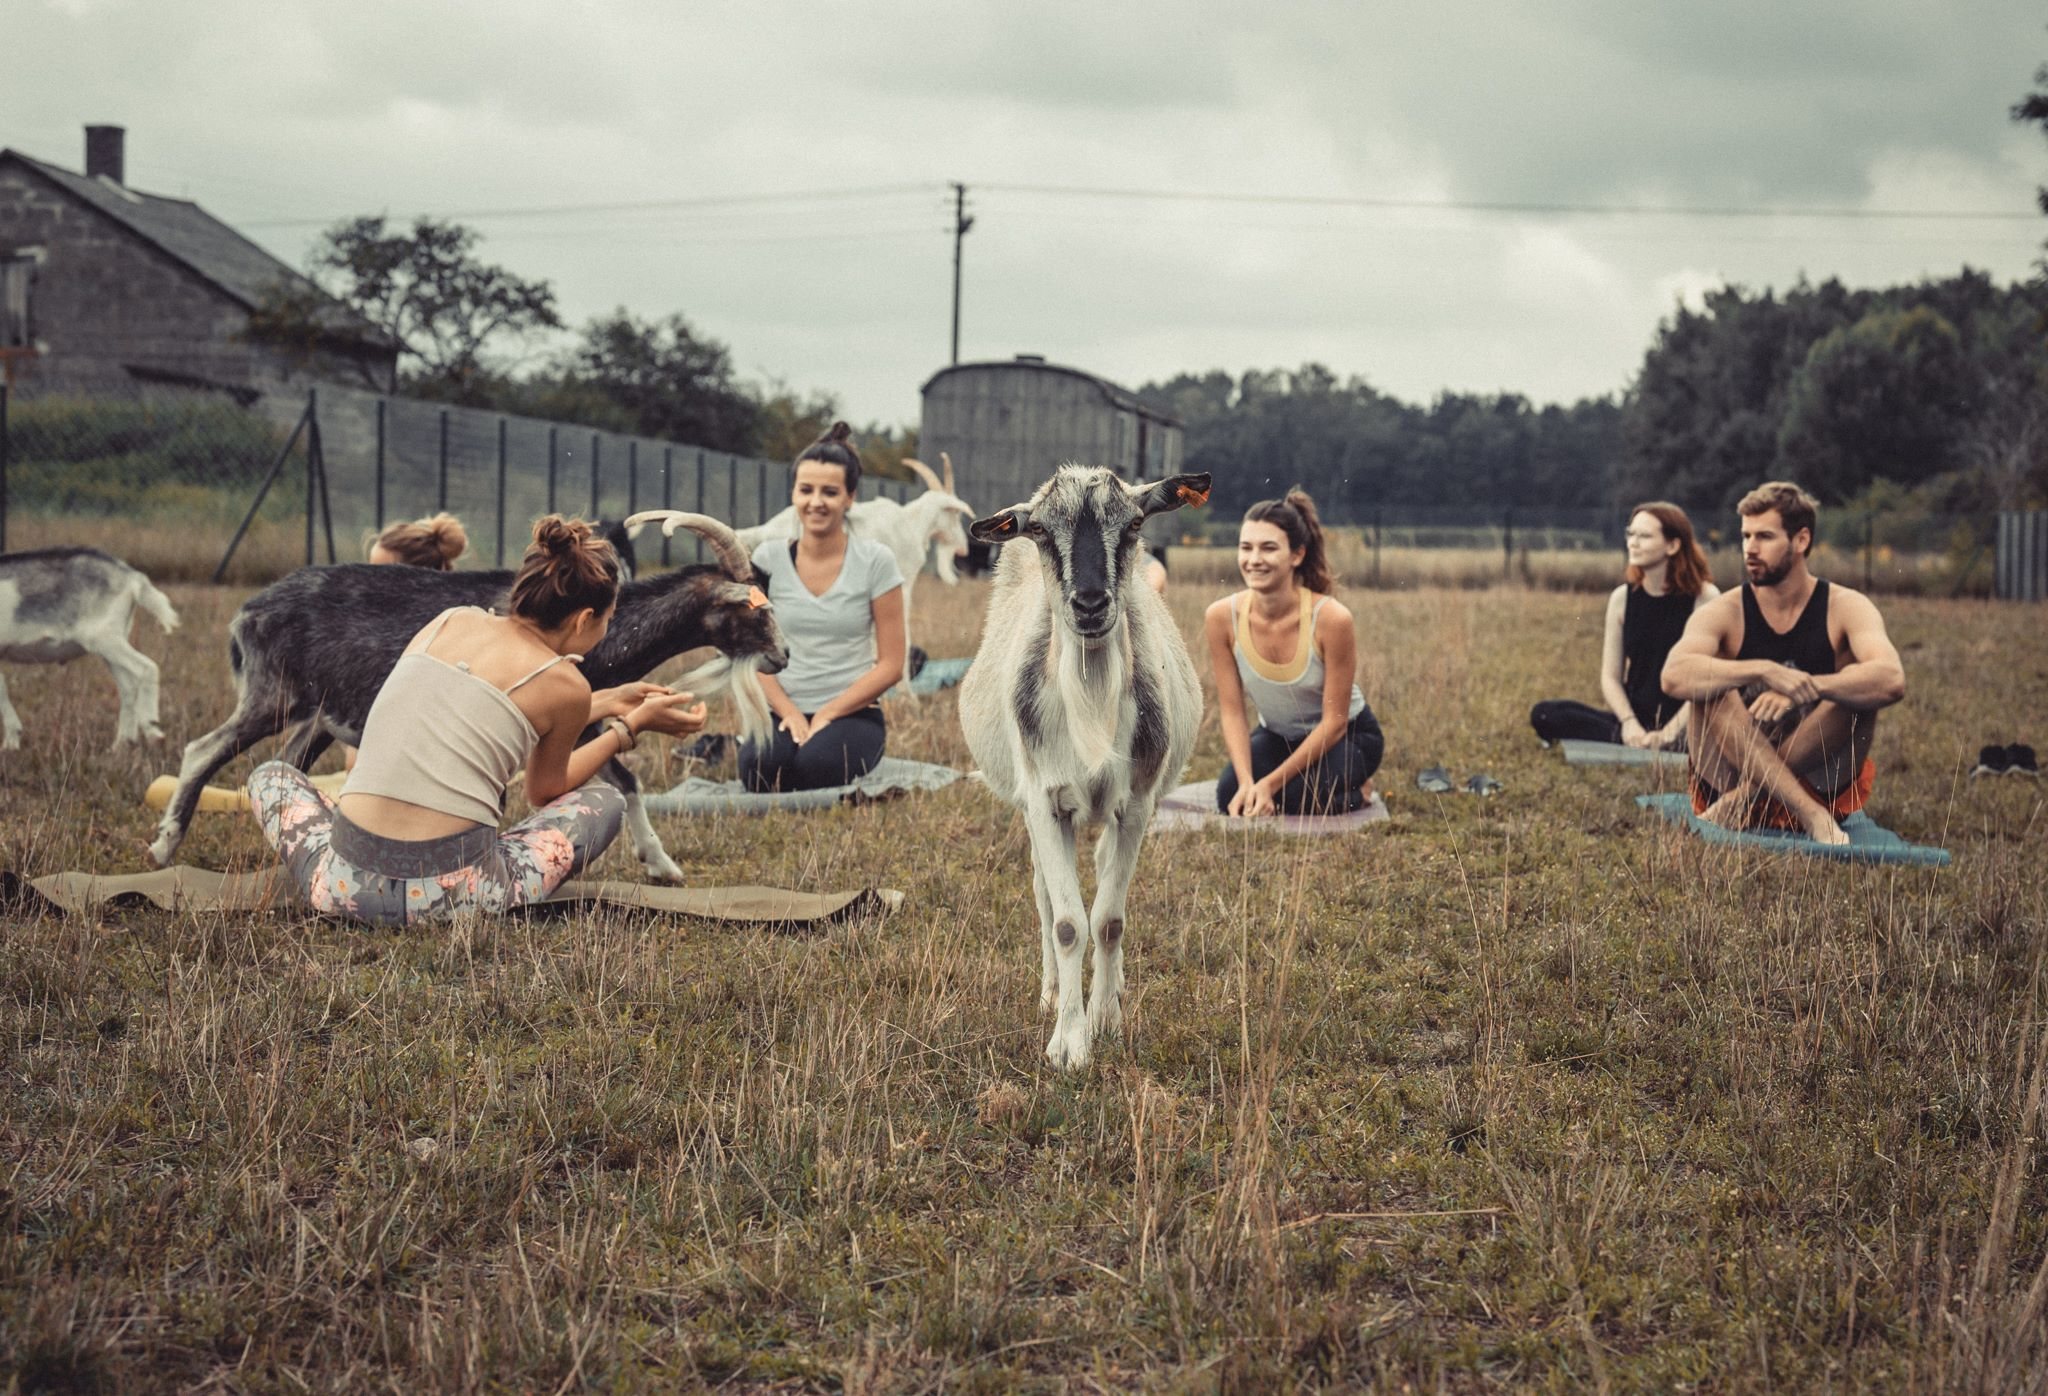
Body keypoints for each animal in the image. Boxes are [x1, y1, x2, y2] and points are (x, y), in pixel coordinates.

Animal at [0, 544, 181, 749]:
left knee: (147, 667)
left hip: (104, 639)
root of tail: (132, 577)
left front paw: (10, 743)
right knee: (128, 687)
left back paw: (152, 729)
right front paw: (12, 741)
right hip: (112, 644)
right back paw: (120, 744)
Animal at [148, 511, 786, 880]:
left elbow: (626, 781)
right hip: (272, 694)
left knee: (283, 766)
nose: (782, 657)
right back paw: (161, 849)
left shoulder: (580, 723)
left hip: (318, 715)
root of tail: (246, 613)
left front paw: (662, 866)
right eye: (756, 611)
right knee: (202, 750)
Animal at [950, 464, 1204, 1064]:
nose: (1089, 604)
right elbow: (1068, 923)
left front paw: (1106, 1019)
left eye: (1134, 524)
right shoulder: (1045, 801)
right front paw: (1067, 1042)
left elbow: (1108, 920)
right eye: (1041, 530)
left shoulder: (1137, 804)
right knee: (1044, 894)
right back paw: (1049, 993)